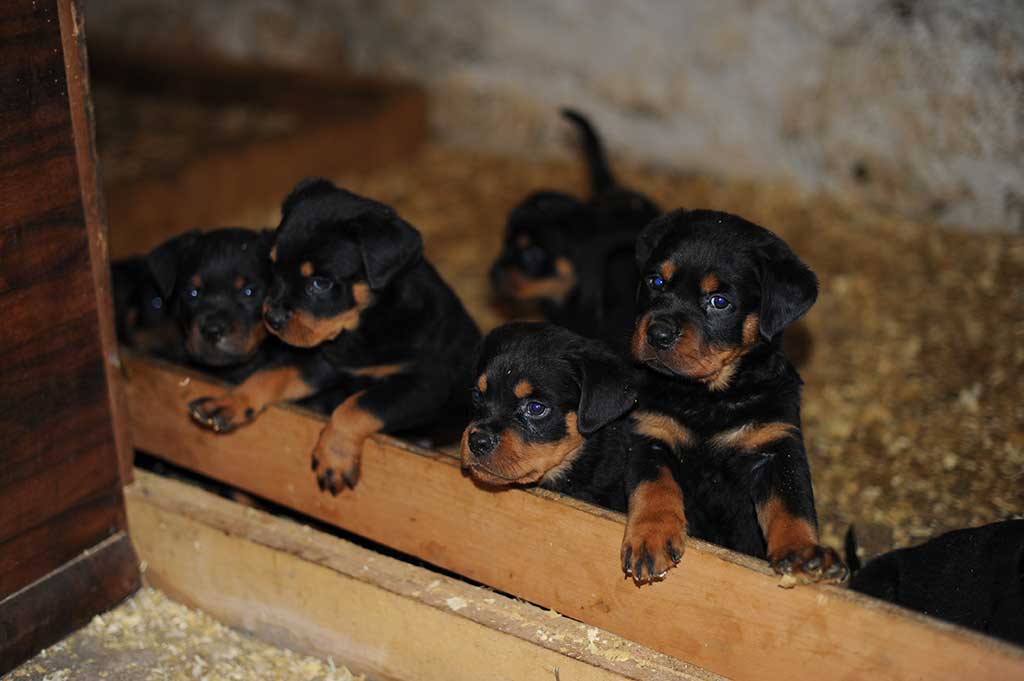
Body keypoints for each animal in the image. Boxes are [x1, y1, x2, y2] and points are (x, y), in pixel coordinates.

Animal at [189, 178, 482, 494]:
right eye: (273, 267)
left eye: (321, 283)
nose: (272, 318)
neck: (361, 327)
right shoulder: (321, 361)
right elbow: (271, 374)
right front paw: (230, 401)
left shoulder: (422, 385)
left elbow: (357, 405)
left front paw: (334, 457)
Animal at [627, 208, 847, 584]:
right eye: (656, 281)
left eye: (719, 302)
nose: (658, 333)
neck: (707, 398)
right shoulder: (651, 431)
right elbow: (655, 486)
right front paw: (651, 537)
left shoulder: (775, 444)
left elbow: (791, 504)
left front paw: (804, 552)